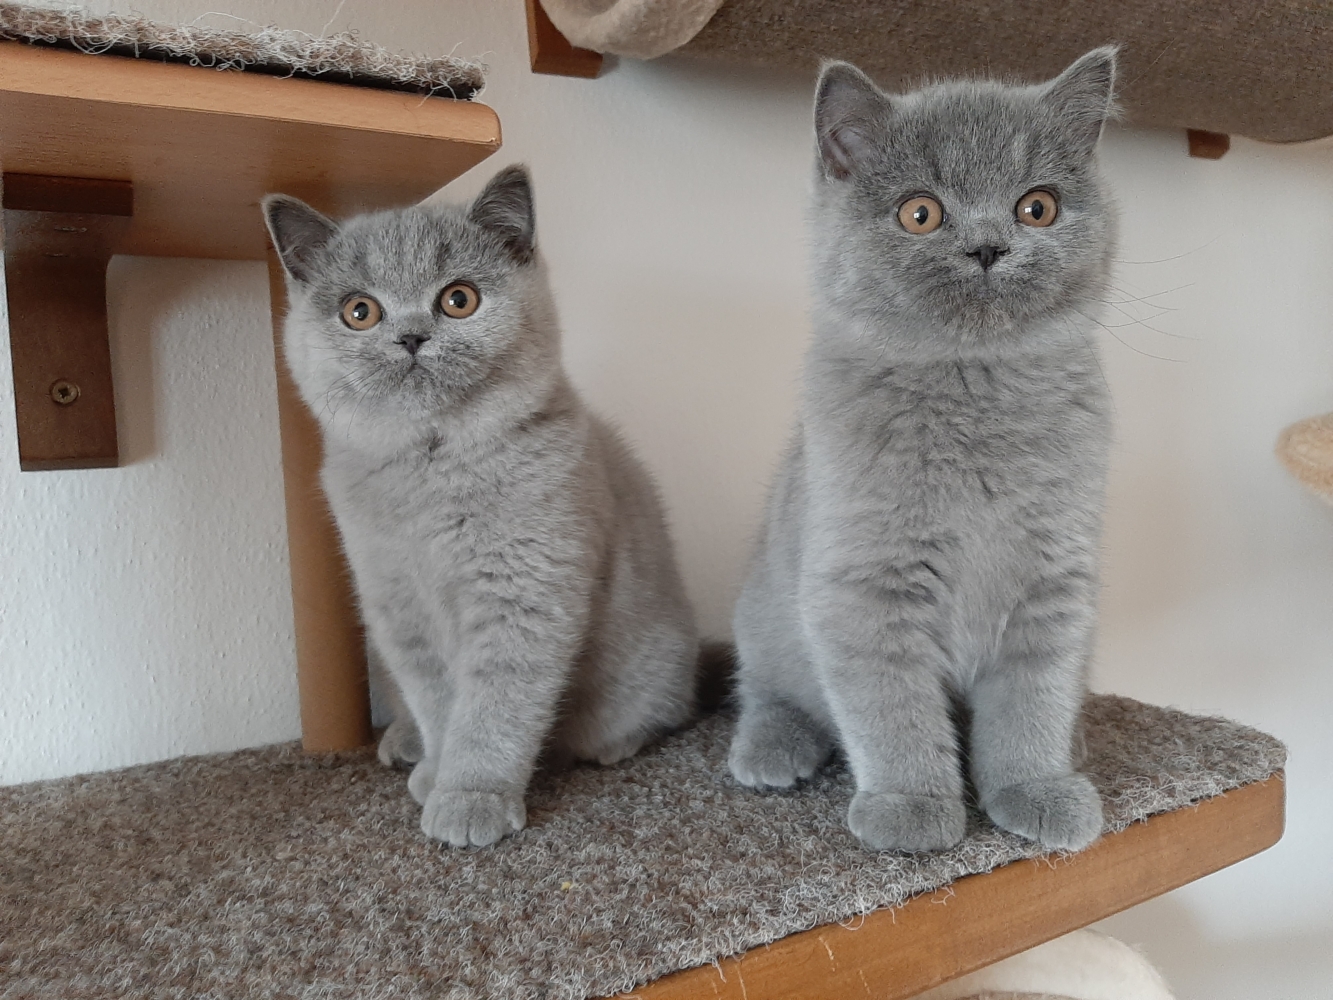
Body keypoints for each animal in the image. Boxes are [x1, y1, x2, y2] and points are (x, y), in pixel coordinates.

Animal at [263, 166, 699, 848]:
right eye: (360, 311)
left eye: (458, 299)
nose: (411, 336)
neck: (431, 469)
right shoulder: (396, 605)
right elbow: (438, 698)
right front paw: (439, 771)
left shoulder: (522, 592)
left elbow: (494, 706)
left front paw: (470, 798)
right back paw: (406, 745)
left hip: (652, 661)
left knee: (664, 708)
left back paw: (613, 744)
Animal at [728, 48, 1119, 853]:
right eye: (921, 213)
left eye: (1037, 207)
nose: (988, 247)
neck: (976, 395)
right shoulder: (861, 586)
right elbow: (892, 709)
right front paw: (911, 807)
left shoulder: (1054, 584)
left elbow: (1032, 698)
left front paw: (1035, 787)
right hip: (763, 612)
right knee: (765, 685)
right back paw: (773, 746)